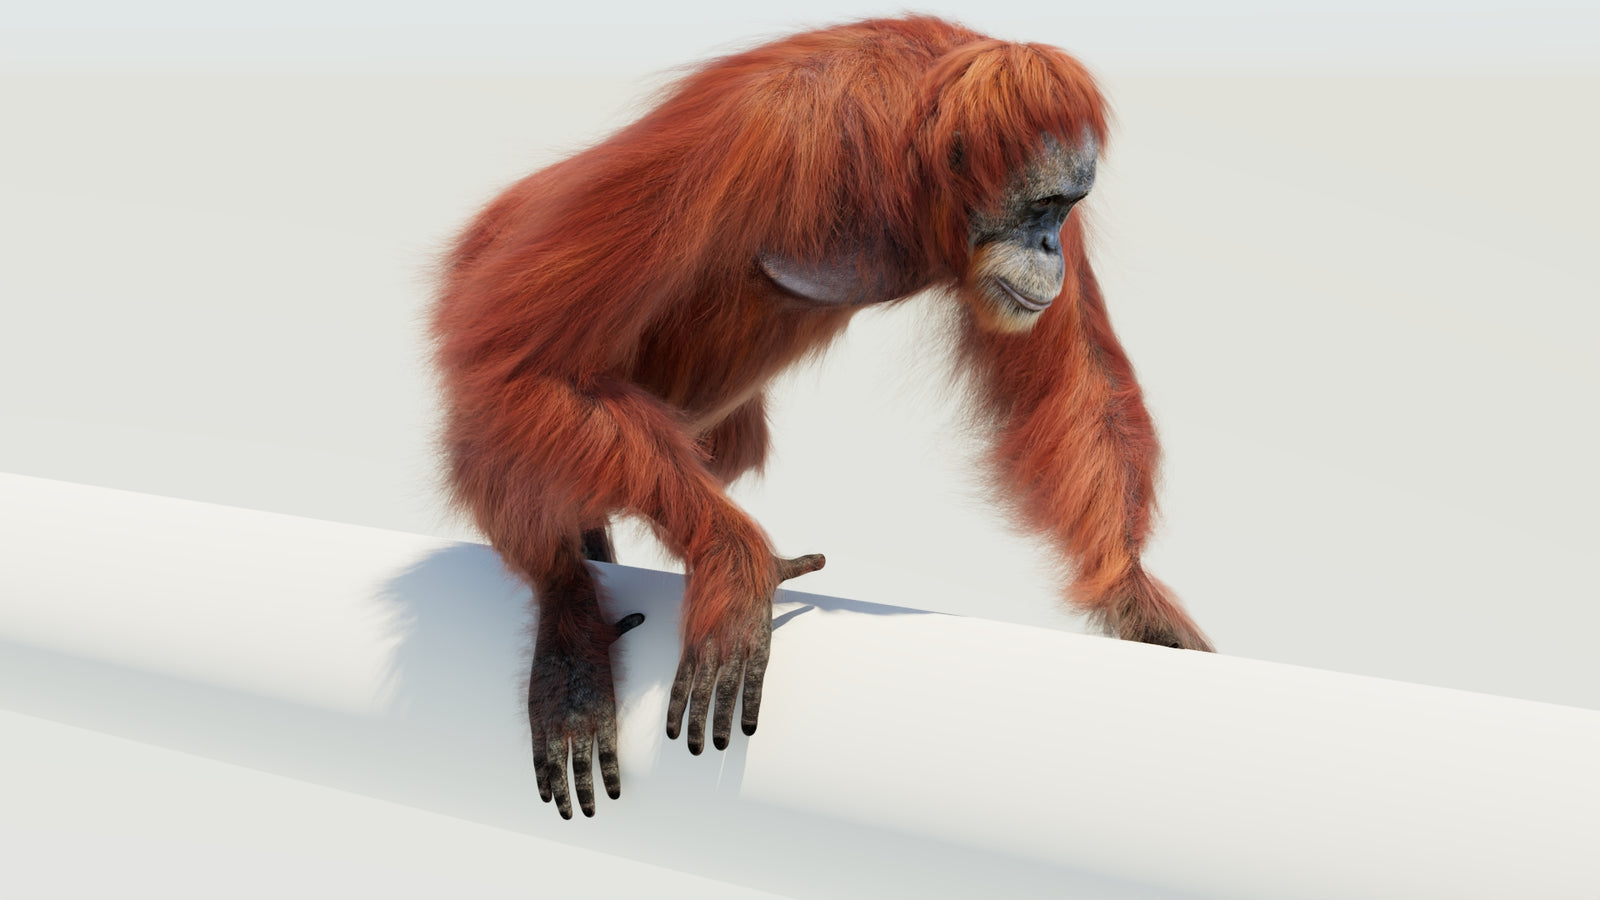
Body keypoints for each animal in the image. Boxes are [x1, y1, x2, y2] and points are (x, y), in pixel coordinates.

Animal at [430, 15, 1212, 820]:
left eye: (1066, 209)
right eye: (1040, 206)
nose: (1050, 244)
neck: (909, 156)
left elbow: (1078, 377)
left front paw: (1136, 602)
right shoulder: (756, 131)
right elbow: (524, 358)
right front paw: (736, 563)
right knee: (502, 396)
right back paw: (568, 625)